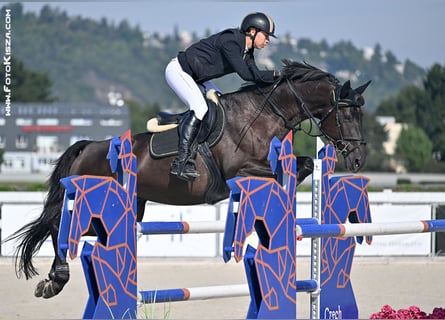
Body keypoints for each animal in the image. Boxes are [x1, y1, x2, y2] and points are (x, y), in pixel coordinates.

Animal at [5, 60, 370, 300]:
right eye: (347, 113)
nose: (357, 159)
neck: (264, 115)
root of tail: (86, 147)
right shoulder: (239, 170)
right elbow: (287, 170)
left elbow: (303, 164)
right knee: (59, 227)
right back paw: (55, 280)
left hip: (126, 209)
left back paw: (54, 280)